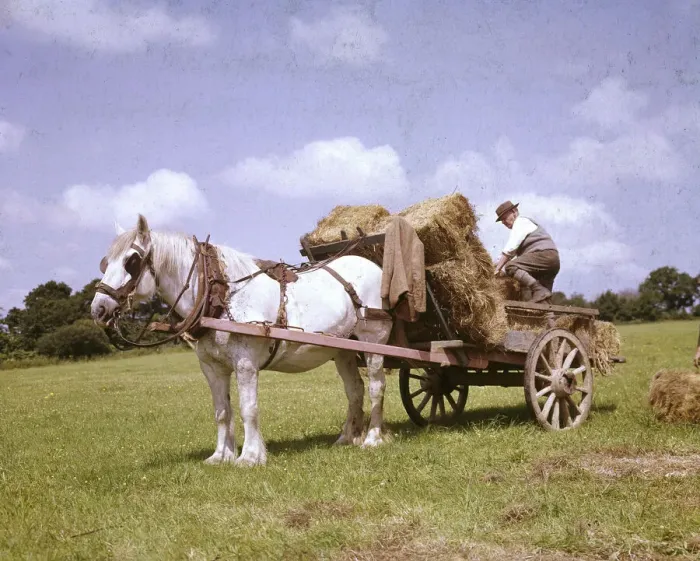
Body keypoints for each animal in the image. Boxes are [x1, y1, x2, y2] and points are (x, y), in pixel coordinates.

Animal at [91, 214, 393, 466]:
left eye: (131, 261)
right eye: (105, 262)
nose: (98, 309)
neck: (221, 296)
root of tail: (374, 267)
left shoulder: (245, 364)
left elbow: (249, 408)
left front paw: (249, 456)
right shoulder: (212, 368)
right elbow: (222, 411)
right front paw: (221, 456)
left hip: (374, 343)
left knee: (376, 387)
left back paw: (373, 438)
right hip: (343, 350)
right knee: (354, 390)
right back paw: (347, 437)